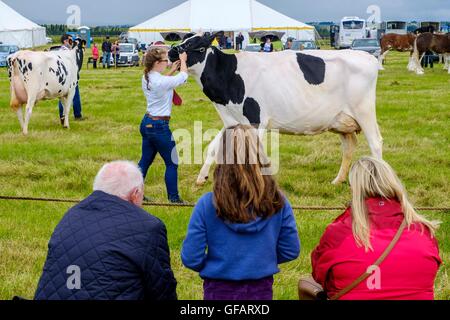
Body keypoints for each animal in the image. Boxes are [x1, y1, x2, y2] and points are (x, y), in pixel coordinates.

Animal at [169, 31, 384, 185]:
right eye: (184, 38)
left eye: (197, 46)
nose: (171, 51)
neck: (230, 76)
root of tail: (368, 57)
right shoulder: (233, 120)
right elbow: (214, 147)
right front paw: (201, 177)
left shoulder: (255, 120)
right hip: (341, 120)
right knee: (349, 146)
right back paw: (338, 180)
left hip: (363, 110)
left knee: (375, 142)